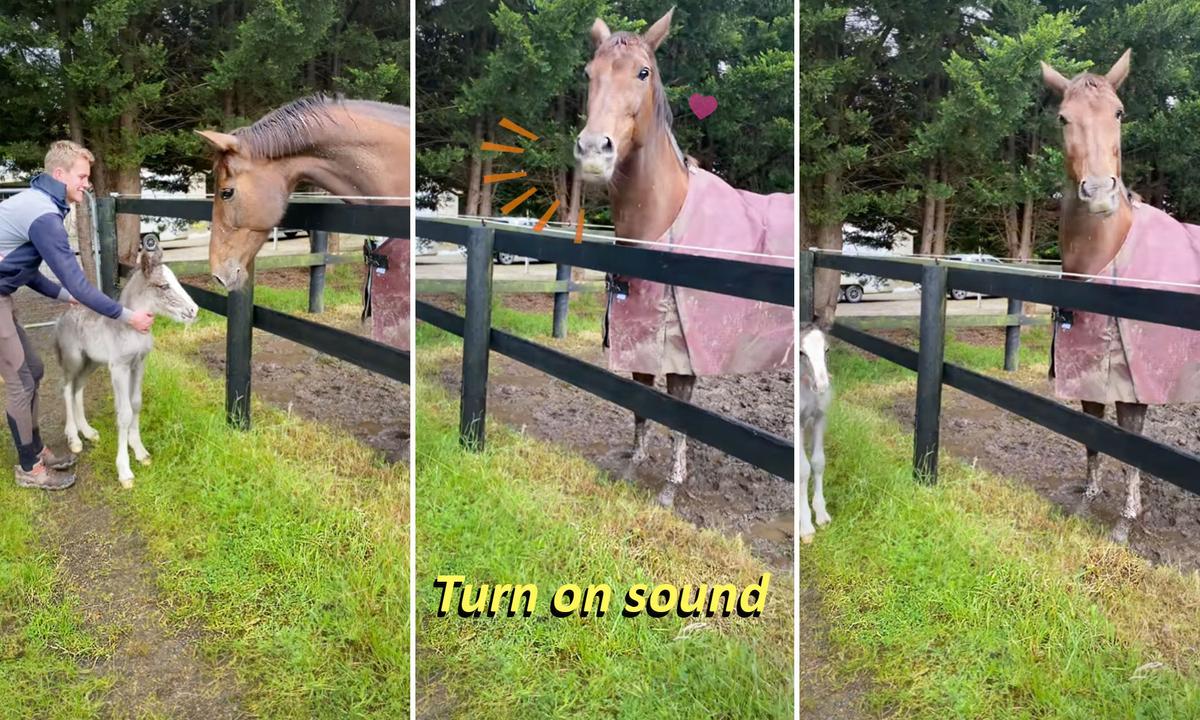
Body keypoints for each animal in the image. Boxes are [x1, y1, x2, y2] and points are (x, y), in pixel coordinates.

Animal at [54, 239, 199, 488]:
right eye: (163, 286)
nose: (194, 310)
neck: (132, 328)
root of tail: (62, 317)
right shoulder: (119, 368)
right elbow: (124, 413)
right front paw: (124, 471)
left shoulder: (138, 364)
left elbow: (136, 404)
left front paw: (139, 451)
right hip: (74, 358)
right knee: (66, 388)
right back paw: (74, 438)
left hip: (91, 362)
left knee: (78, 389)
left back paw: (88, 431)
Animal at [575, 10, 795, 507]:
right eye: (589, 74)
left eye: (643, 72)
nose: (595, 152)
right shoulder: (639, 340)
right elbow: (641, 406)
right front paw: (633, 470)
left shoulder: (681, 354)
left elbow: (679, 415)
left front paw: (670, 490)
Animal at [1043, 51, 1200, 544]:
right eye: (1063, 118)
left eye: (1118, 112)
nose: (1098, 192)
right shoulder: (1086, 371)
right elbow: (1092, 434)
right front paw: (1086, 502)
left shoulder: (1134, 381)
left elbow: (1130, 443)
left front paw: (1126, 523)